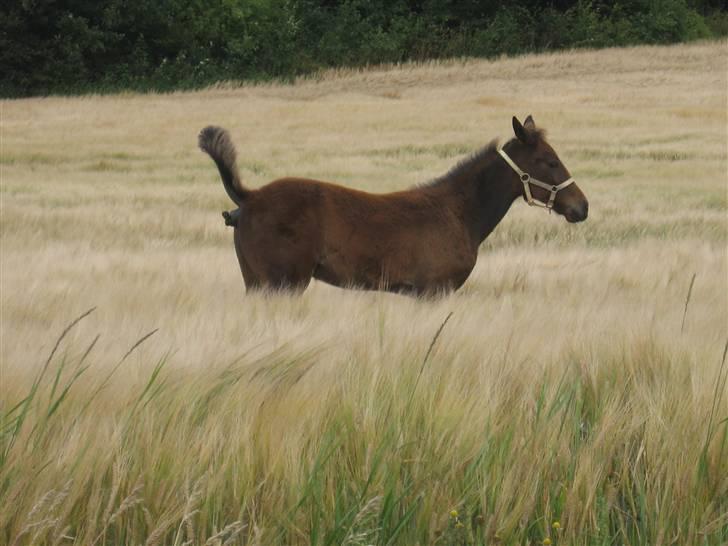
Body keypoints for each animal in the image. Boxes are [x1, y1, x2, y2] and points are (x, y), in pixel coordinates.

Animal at [199, 113, 584, 294]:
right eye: (550, 162)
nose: (581, 207)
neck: (458, 211)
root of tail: (249, 197)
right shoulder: (434, 291)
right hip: (282, 284)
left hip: (255, 282)